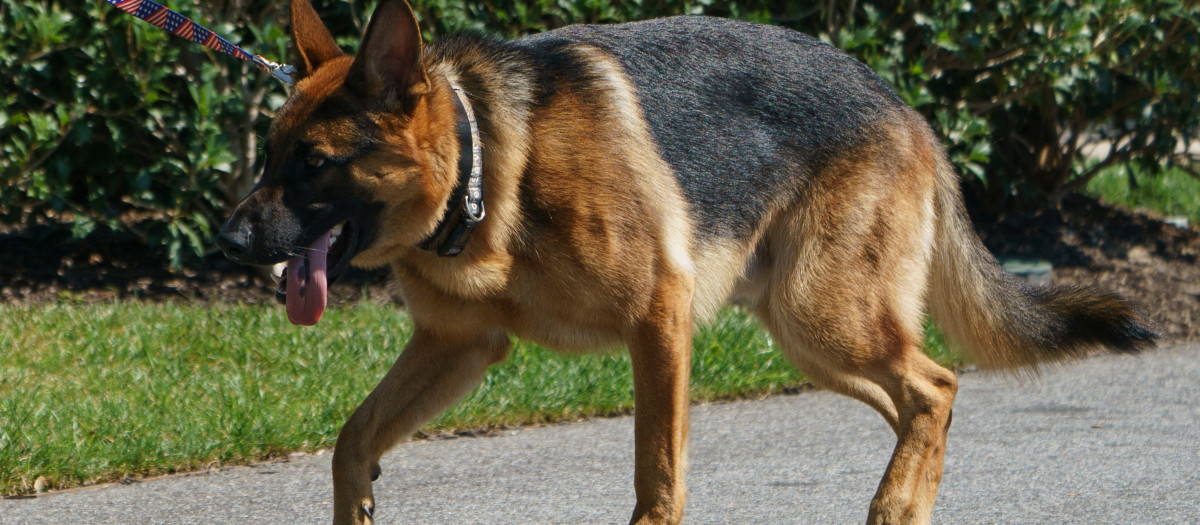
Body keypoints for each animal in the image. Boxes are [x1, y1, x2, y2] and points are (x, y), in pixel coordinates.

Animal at [218, 2, 1152, 522]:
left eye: (314, 163)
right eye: (270, 156)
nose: (227, 242)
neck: (487, 172)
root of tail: (904, 104)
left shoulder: (658, 321)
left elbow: (658, 475)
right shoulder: (460, 347)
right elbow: (351, 439)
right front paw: (359, 506)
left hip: (823, 314)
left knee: (937, 385)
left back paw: (895, 504)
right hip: (810, 329)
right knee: (919, 399)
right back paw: (912, 496)